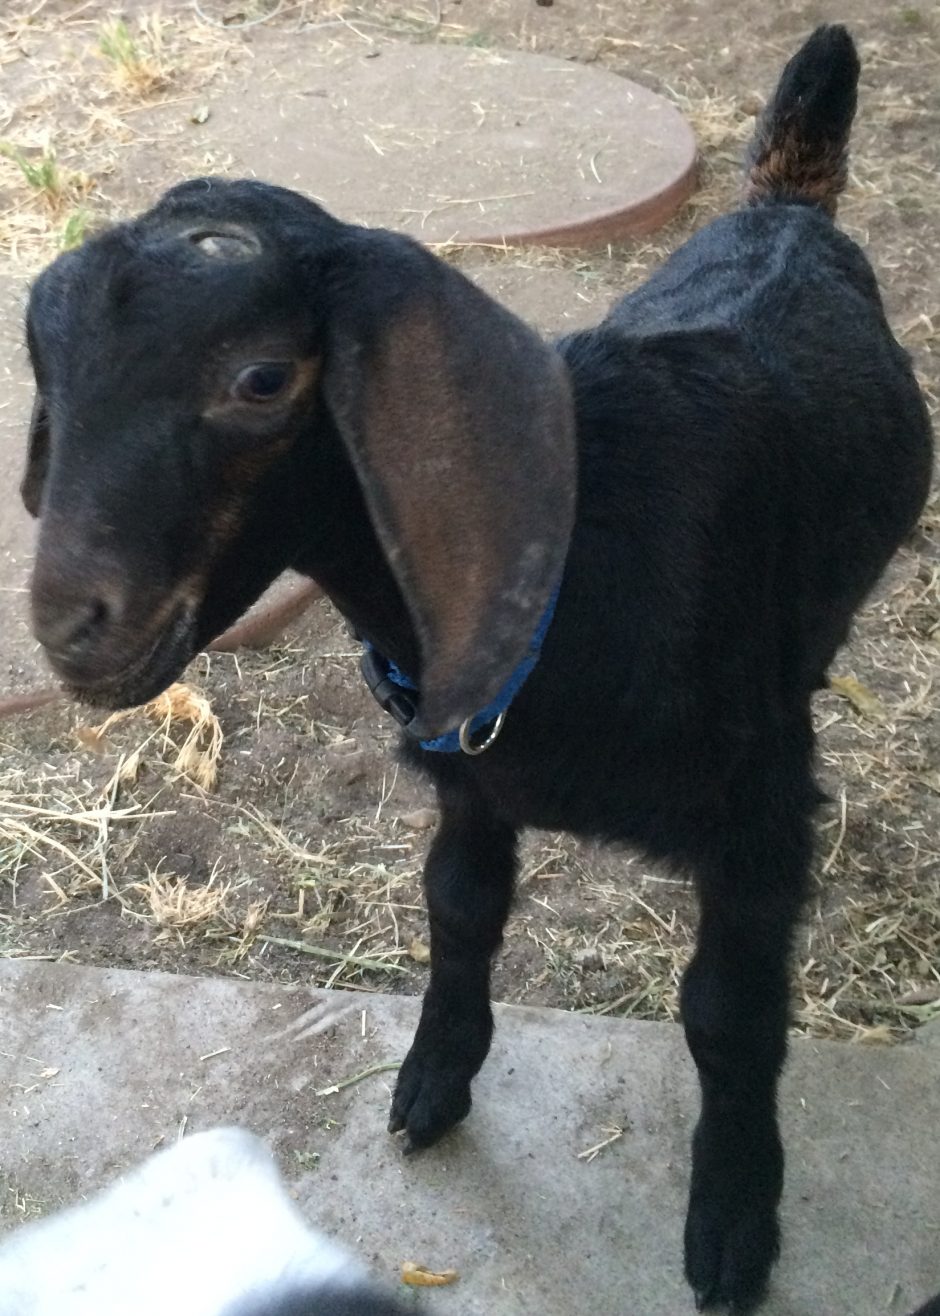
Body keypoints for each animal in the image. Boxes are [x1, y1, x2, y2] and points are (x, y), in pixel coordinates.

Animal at [20, 25, 934, 1314]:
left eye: (261, 378)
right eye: (44, 361)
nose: (71, 624)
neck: (580, 545)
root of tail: (784, 211)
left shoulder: (759, 811)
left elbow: (727, 1012)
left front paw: (733, 1221)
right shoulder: (467, 780)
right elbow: (458, 911)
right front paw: (432, 1080)